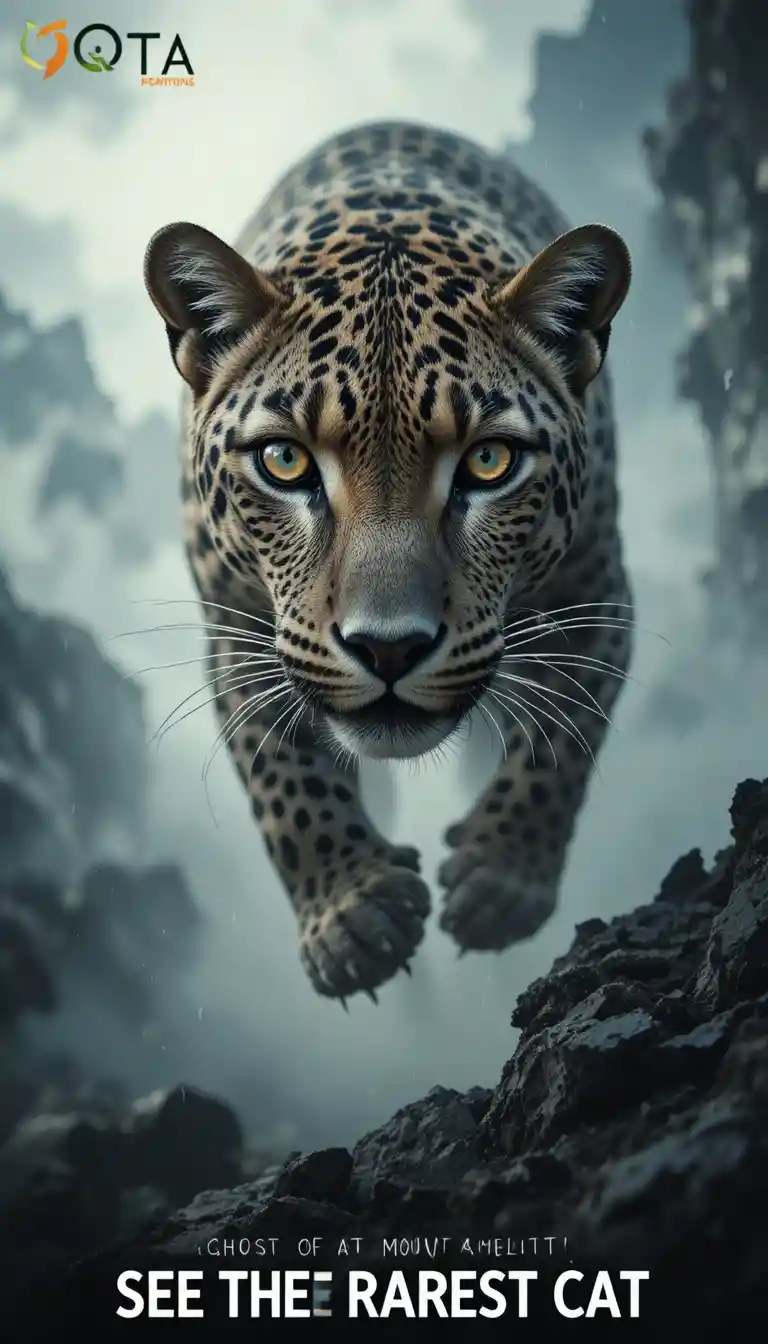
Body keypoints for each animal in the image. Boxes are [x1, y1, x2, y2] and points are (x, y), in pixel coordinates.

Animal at [143, 119, 633, 1005]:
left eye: (488, 464)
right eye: (285, 462)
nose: (390, 649)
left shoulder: (598, 591)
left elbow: (563, 737)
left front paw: (500, 878)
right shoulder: (238, 629)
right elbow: (280, 771)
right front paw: (351, 911)